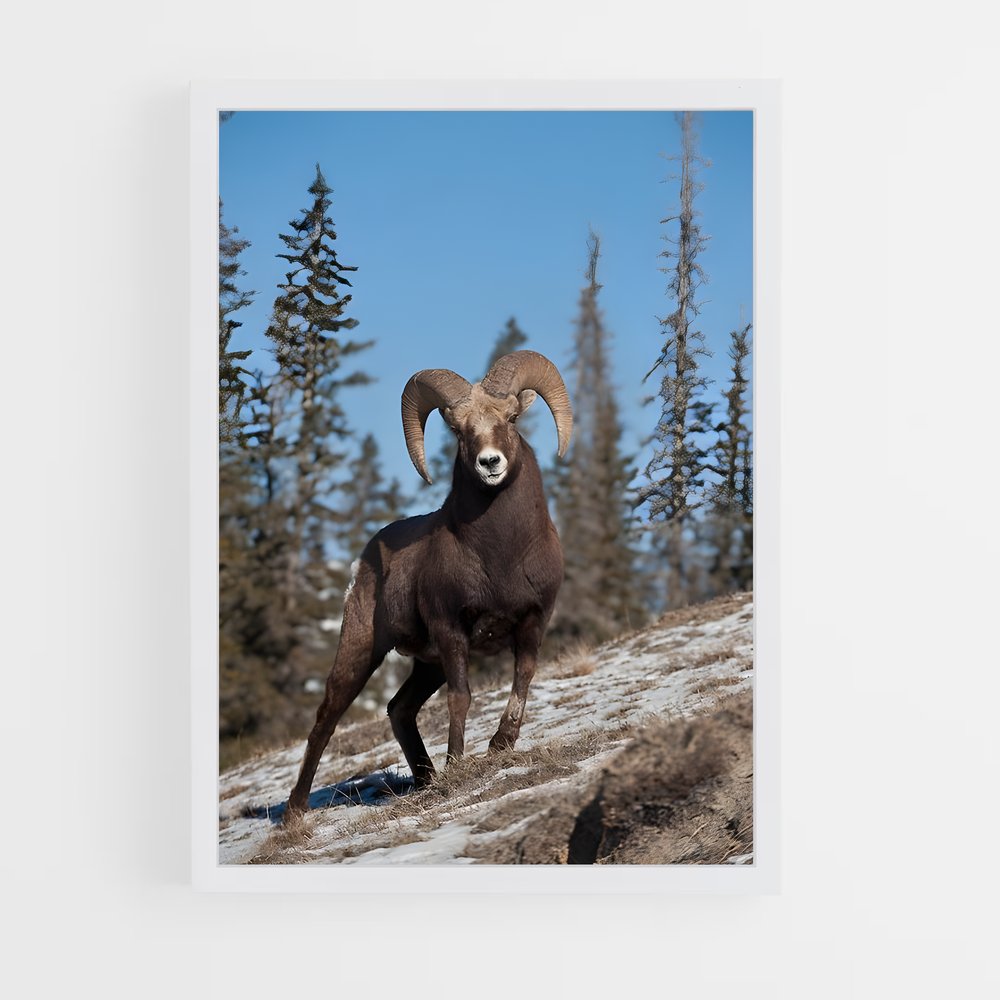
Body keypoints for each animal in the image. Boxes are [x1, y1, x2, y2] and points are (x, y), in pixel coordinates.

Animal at [285, 350, 573, 817]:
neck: (503, 556)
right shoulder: (451, 630)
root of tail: (362, 562)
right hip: (362, 650)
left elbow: (523, 677)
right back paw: (295, 812)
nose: (490, 464)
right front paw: (457, 763)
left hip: (426, 665)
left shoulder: (534, 620)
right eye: (458, 429)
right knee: (326, 720)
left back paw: (426, 778)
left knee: (399, 708)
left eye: (512, 418)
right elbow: (462, 697)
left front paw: (500, 745)